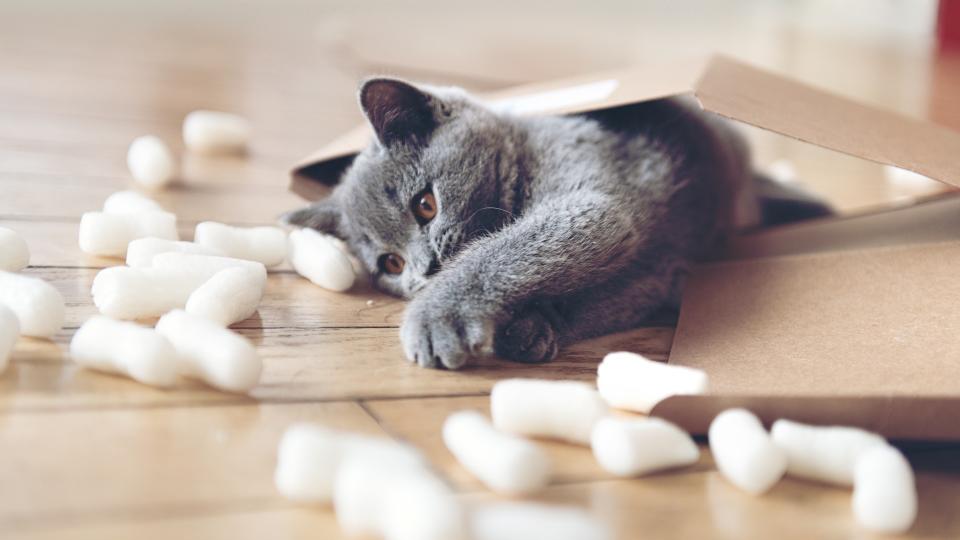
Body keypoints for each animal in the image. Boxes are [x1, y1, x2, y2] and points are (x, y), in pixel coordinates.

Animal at [282, 78, 828, 370]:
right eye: (390, 264)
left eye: (425, 206)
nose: (423, 271)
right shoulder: (656, 272)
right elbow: (613, 293)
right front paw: (531, 329)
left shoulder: (591, 205)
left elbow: (503, 251)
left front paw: (439, 318)